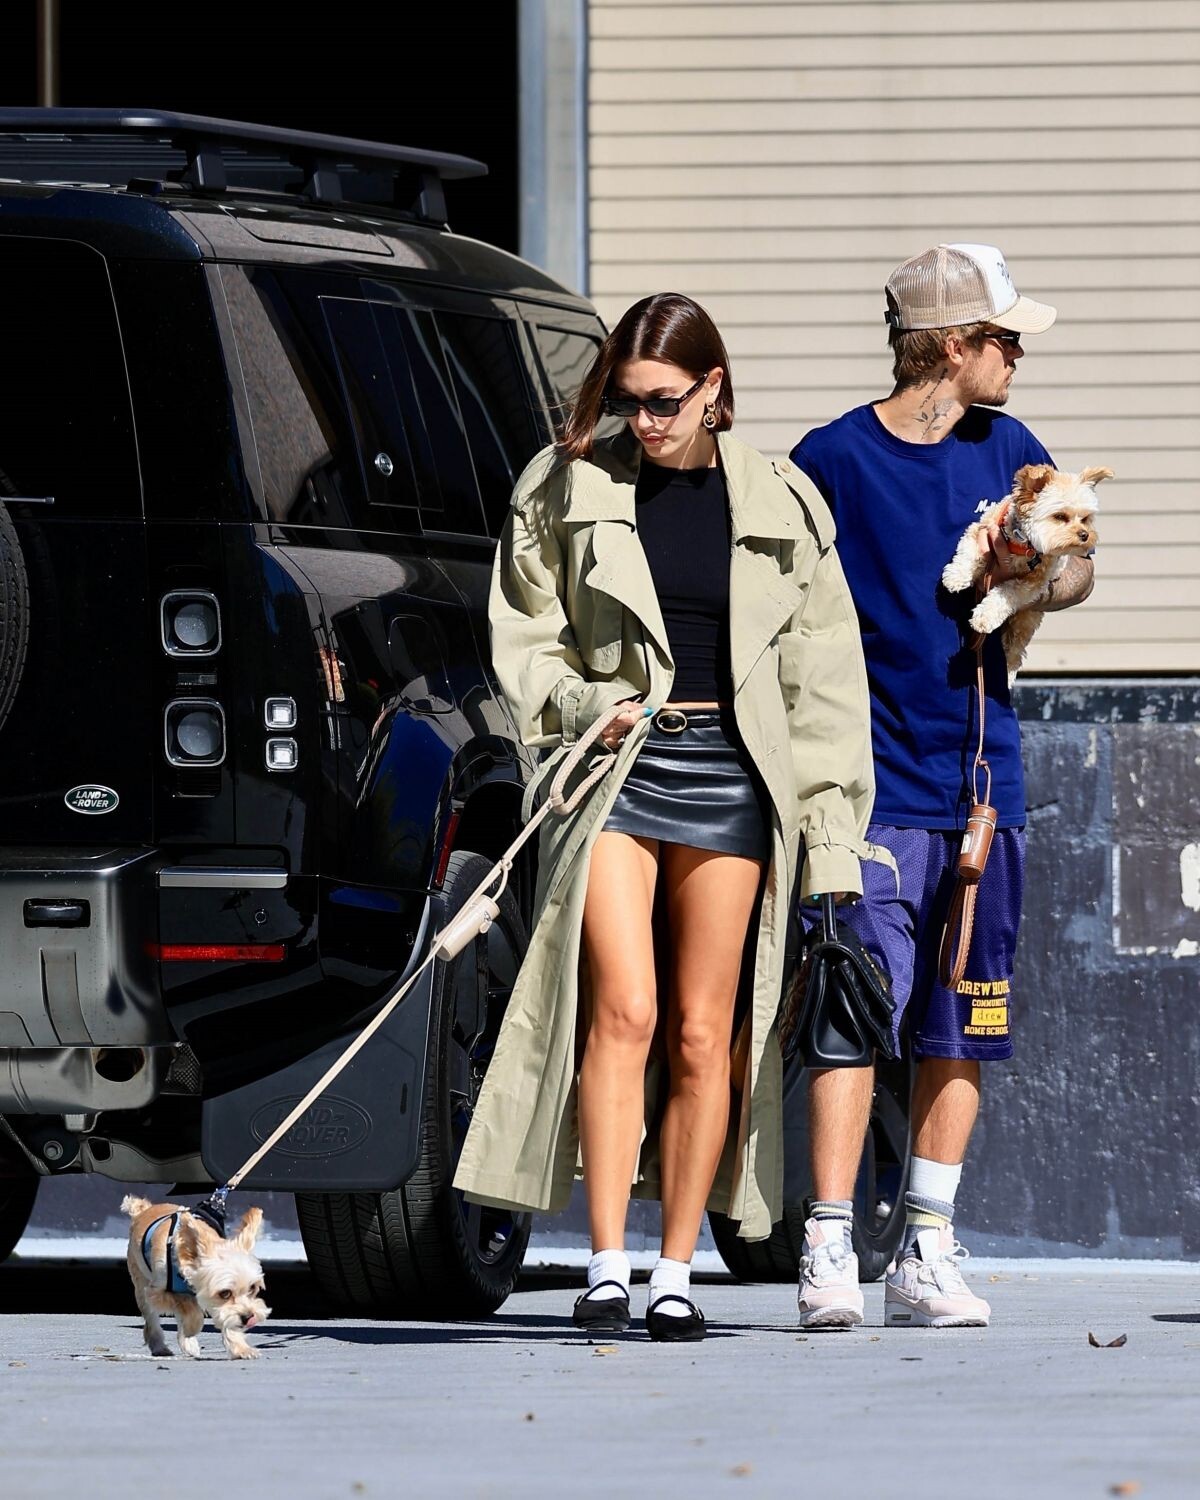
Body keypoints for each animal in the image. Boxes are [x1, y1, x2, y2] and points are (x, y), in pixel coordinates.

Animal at [121, 1196, 270, 1359]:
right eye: (225, 1293)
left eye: (252, 1288)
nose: (249, 1317)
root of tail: (143, 1210)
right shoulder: (156, 1293)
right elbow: (188, 1304)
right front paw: (192, 1329)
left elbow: (226, 1318)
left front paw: (240, 1348)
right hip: (141, 1286)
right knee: (152, 1319)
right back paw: (162, 1346)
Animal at [941, 463, 1110, 679]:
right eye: (1060, 516)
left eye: (1085, 518)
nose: (1085, 535)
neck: (1022, 543)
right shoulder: (980, 529)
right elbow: (969, 552)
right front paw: (956, 576)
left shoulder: (1033, 582)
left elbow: (1006, 592)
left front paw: (984, 617)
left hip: (1026, 619)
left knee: (1015, 651)